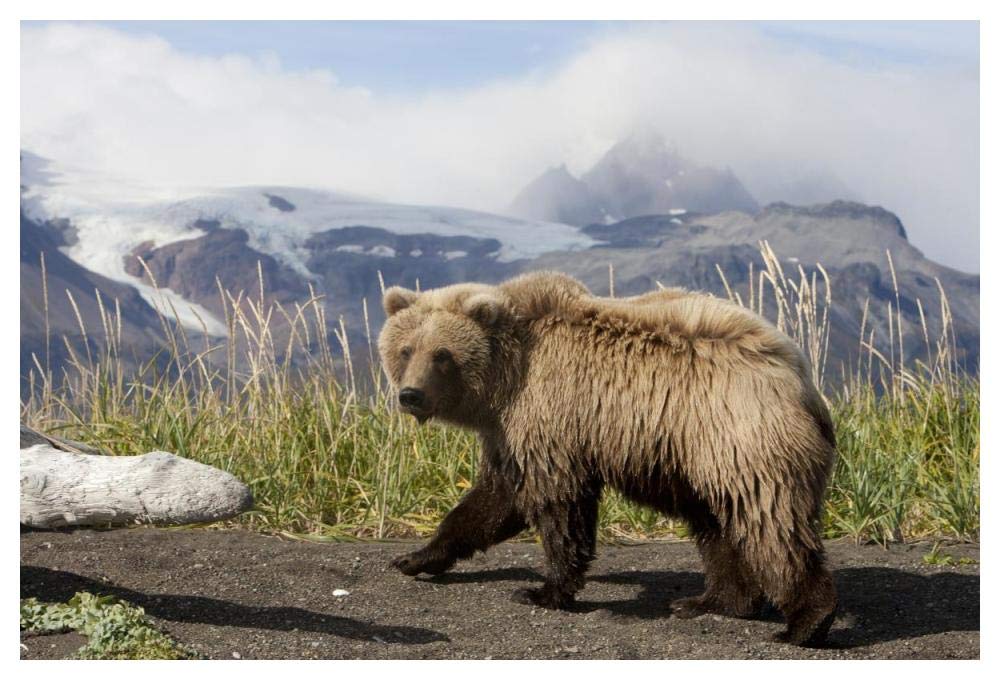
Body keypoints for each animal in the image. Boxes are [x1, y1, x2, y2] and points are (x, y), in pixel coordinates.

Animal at [377, 271, 838, 646]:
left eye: (442, 354)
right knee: (716, 524)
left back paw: (806, 622)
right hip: (700, 456)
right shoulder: (509, 430)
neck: (503, 379)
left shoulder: (549, 414)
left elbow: (557, 502)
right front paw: (414, 558)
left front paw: (543, 591)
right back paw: (711, 601)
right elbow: (492, 501)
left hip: (737, 435)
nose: (411, 395)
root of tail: (799, 374)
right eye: (406, 349)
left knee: (770, 520)